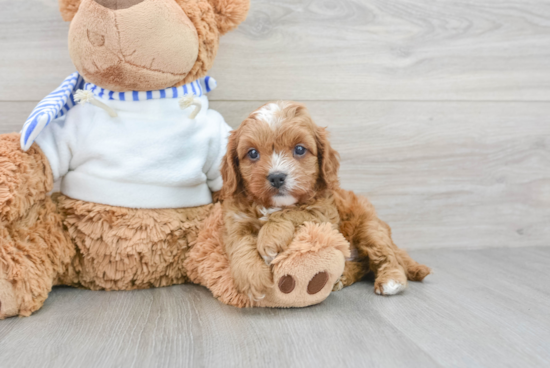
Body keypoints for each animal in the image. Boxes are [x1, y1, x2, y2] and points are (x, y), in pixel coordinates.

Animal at [220, 100, 432, 300]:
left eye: (299, 149)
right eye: (253, 153)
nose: (277, 177)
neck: (273, 205)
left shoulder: (323, 216)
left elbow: (291, 212)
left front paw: (270, 237)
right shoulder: (236, 221)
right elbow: (240, 245)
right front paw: (252, 278)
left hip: (369, 228)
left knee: (386, 256)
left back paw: (391, 280)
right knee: (364, 265)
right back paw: (343, 276)